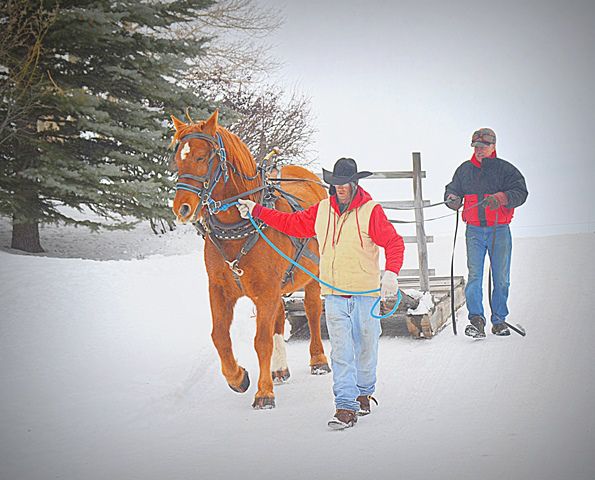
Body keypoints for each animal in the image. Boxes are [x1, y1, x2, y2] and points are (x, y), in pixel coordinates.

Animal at [171, 110, 330, 406]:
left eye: (201, 157)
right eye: (178, 158)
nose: (182, 208)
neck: (240, 226)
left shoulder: (265, 290)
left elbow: (261, 341)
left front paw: (263, 392)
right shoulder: (220, 288)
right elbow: (220, 336)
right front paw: (238, 377)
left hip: (313, 275)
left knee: (313, 311)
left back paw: (318, 360)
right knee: (279, 316)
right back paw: (279, 369)